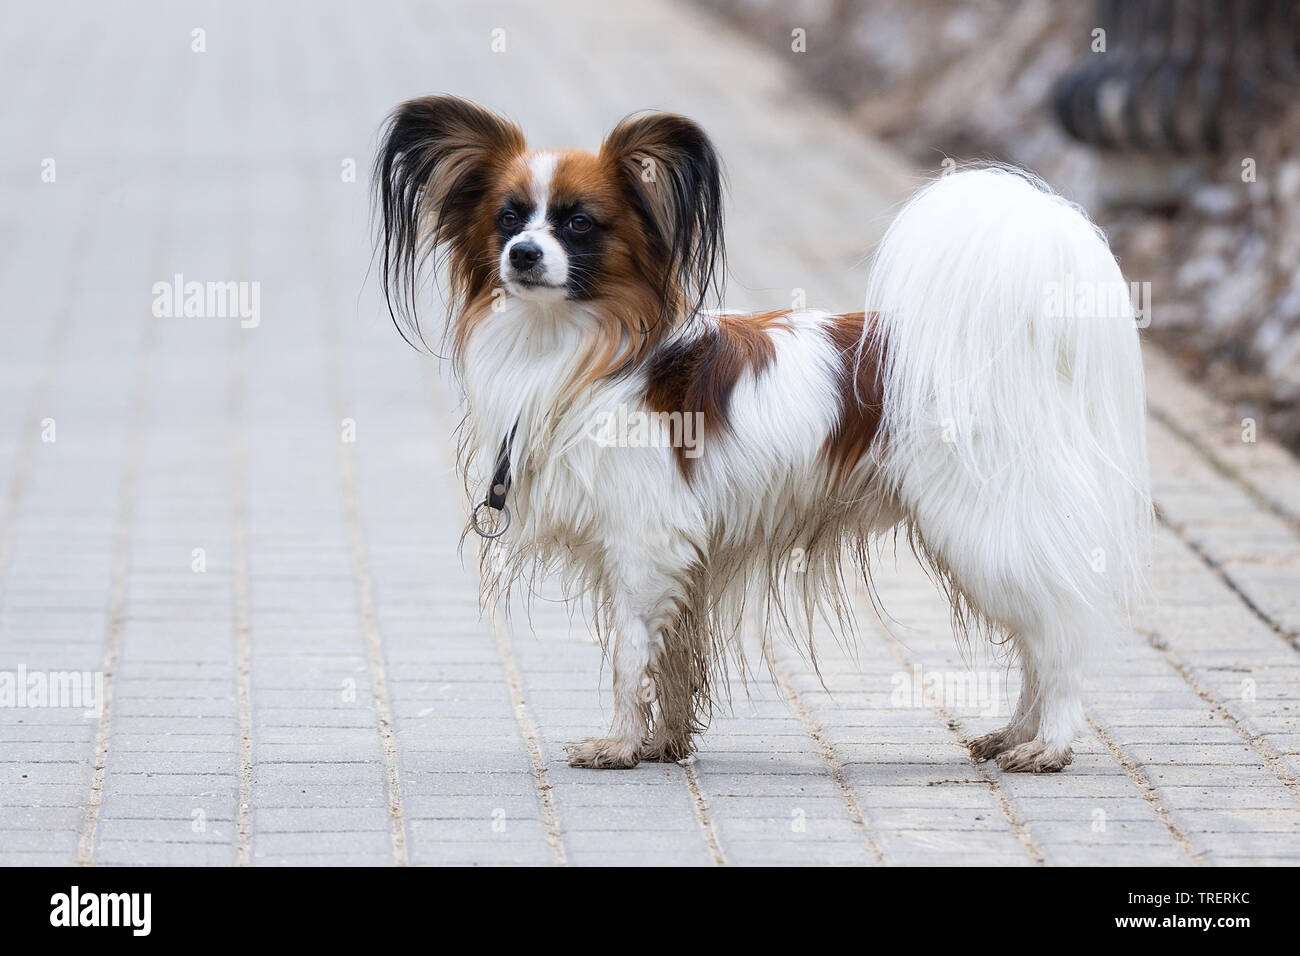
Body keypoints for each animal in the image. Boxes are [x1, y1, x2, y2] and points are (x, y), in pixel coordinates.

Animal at [374, 95, 1149, 770]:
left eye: (579, 224)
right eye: (508, 219)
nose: (524, 255)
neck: (574, 348)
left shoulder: (644, 545)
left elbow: (629, 657)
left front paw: (619, 747)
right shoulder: (681, 556)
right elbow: (672, 660)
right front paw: (663, 745)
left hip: (987, 527)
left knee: (1059, 635)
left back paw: (1049, 744)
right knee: (1037, 640)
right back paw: (1014, 734)